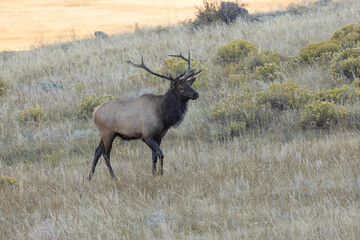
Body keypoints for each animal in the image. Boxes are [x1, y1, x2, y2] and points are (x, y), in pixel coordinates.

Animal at [87, 52, 200, 180]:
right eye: (181, 87)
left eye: (189, 84)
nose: (196, 94)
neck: (162, 115)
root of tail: (95, 112)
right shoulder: (146, 135)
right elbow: (160, 153)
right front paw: (161, 173)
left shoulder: (159, 136)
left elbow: (154, 156)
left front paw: (154, 173)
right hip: (107, 133)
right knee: (106, 154)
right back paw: (113, 177)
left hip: (106, 134)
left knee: (97, 151)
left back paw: (89, 178)